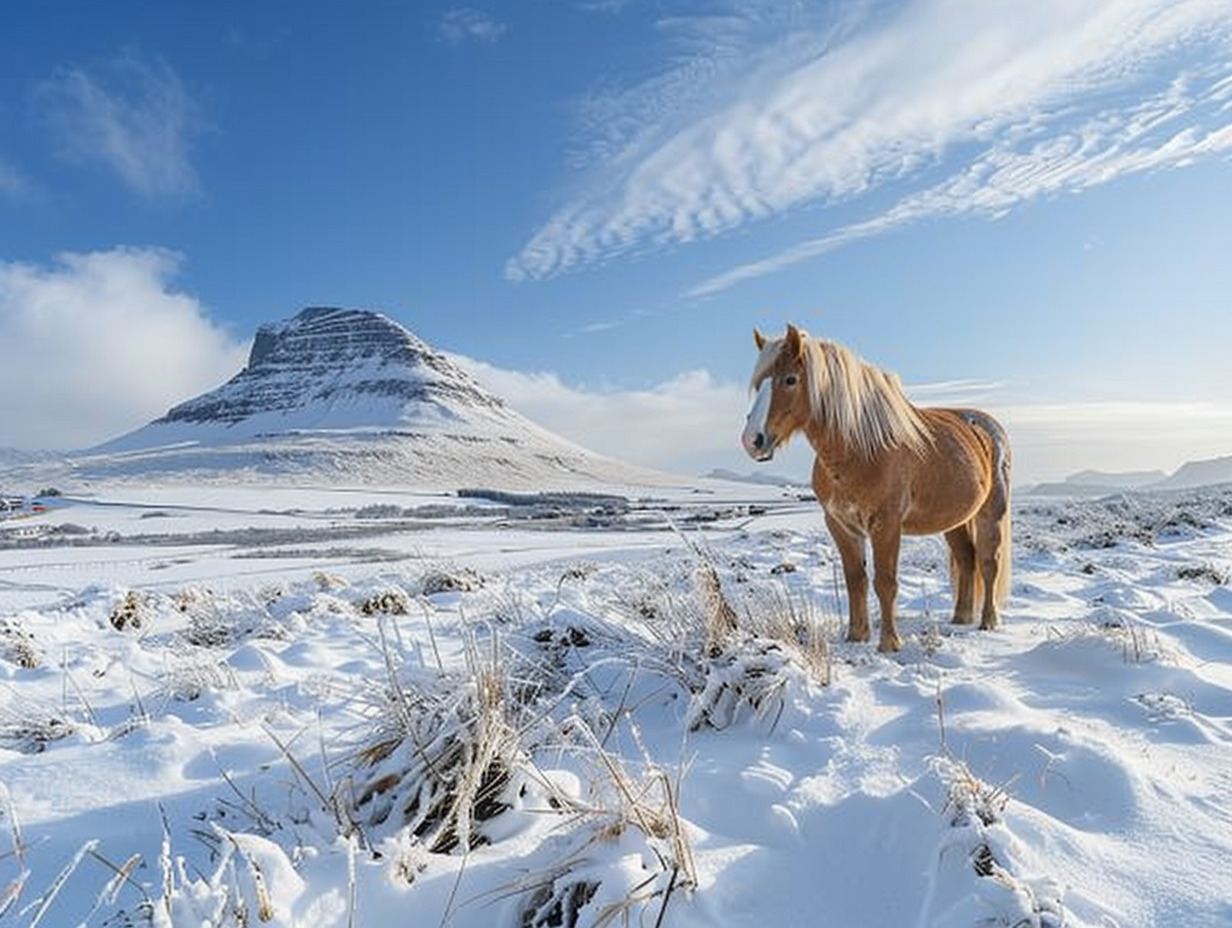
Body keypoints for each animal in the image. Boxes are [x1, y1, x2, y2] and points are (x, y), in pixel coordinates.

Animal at [739, 325, 1010, 650]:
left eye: (790, 379)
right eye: (758, 384)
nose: (752, 440)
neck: (860, 449)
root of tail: (988, 426)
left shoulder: (887, 524)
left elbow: (885, 582)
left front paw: (889, 644)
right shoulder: (841, 524)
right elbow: (856, 579)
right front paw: (856, 636)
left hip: (990, 513)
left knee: (988, 562)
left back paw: (988, 621)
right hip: (955, 519)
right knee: (966, 559)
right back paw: (960, 618)